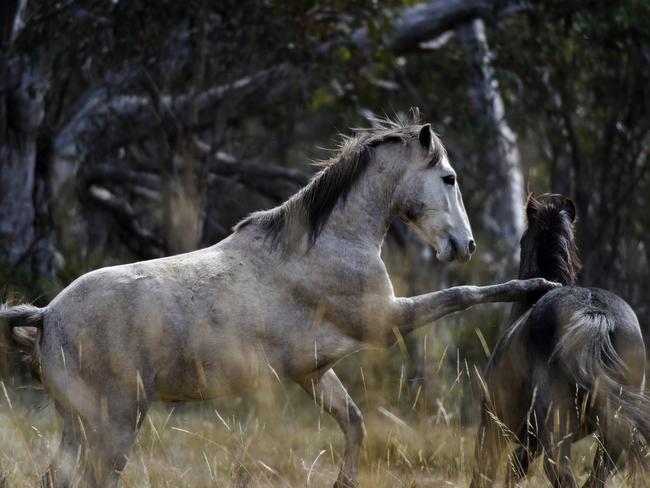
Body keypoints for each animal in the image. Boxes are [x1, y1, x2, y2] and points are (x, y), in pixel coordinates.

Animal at [1, 116, 556, 486]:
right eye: (449, 178)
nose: (465, 245)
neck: (326, 242)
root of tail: (47, 315)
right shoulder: (387, 321)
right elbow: (465, 294)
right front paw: (539, 286)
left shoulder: (313, 371)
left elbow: (353, 423)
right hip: (113, 425)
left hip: (78, 427)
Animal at [470, 195, 648, 488]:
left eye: (522, 239)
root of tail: (595, 315)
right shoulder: (529, 442)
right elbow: (513, 470)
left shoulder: (493, 428)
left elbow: (486, 472)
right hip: (612, 430)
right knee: (596, 475)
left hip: (553, 428)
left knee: (560, 470)